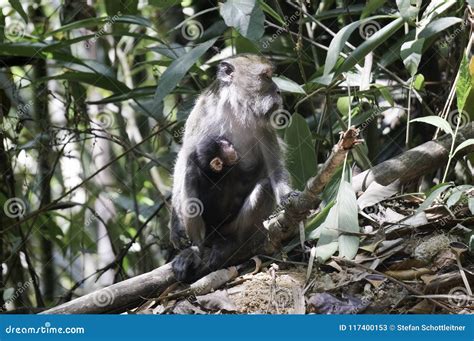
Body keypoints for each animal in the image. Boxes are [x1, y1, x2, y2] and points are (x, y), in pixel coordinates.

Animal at [169, 53, 292, 282]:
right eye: (266, 76)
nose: (279, 91)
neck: (236, 108)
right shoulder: (203, 111)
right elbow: (184, 157)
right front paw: (175, 227)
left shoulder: (263, 125)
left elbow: (274, 167)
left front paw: (288, 195)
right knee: (190, 171)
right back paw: (196, 249)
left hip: (232, 227)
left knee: (264, 187)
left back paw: (232, 242)